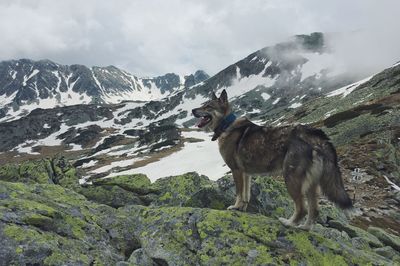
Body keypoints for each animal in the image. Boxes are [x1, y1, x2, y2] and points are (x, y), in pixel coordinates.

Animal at [192, 90, 352, 231]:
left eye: (208, 106)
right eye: (203, 104)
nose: (193, 110)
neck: (226, 124)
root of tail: (314, 135)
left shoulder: (236, 170)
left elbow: (238, 192)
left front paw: (235, 207)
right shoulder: (246, 174)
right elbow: (246, 195)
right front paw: (242, 208)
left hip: (291, 178)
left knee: (302, 209)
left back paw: (289, 223)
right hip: (310, 184)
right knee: (314, 210)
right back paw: (305, 227)